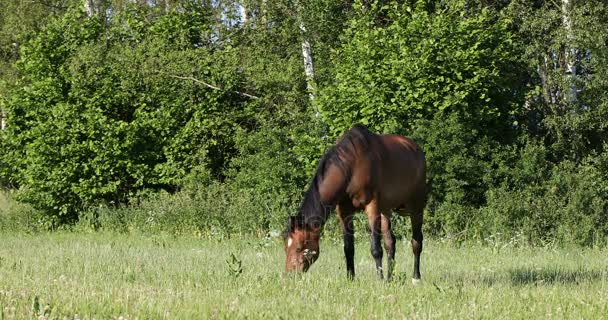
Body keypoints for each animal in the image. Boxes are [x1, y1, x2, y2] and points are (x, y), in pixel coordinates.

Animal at [284, 124, 428, 284]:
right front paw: (351, 278)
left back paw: (416, 278)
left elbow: (376, 248)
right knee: (390, 243)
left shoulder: (372, 207)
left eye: (299, 248)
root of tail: (416, 149)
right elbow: (348, 248)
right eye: (285, 247)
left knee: (416, 242)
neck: (352, 166)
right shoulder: (344, 211)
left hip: (416, 207)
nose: (289, 276)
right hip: (385, 210)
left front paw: (379, 279)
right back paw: (390, 278)